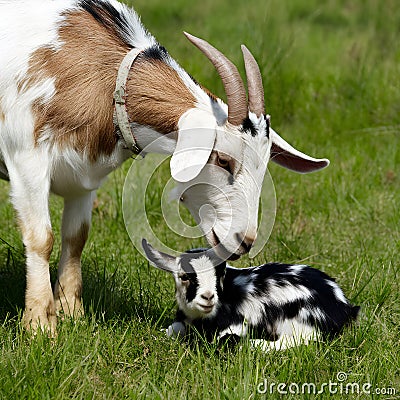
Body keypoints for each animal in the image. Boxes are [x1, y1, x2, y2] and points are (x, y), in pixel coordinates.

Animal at [0, 0, 330, 334]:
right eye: (223, 160)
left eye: (264, 167)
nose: (245, 241)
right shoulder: (27, 160)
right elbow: (42, 238)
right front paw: (40, 325)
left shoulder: (82, 178)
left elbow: (76, 238)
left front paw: (73, 314)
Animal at [143, 239, 360, 352]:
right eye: (184, 276)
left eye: (220, 273)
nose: (208, 297)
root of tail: (344, 305)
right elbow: (170, 330)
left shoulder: (237, 324)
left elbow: (224, 340)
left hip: (301, 323)